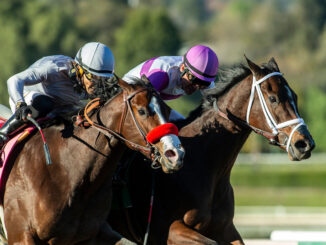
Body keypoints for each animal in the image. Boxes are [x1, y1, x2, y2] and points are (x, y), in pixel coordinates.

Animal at [109, 58, 316, 245]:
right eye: (273, 99)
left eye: (295, 97)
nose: (305, 144)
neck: (203, 165)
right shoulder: (168, 230)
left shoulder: (225, 229)